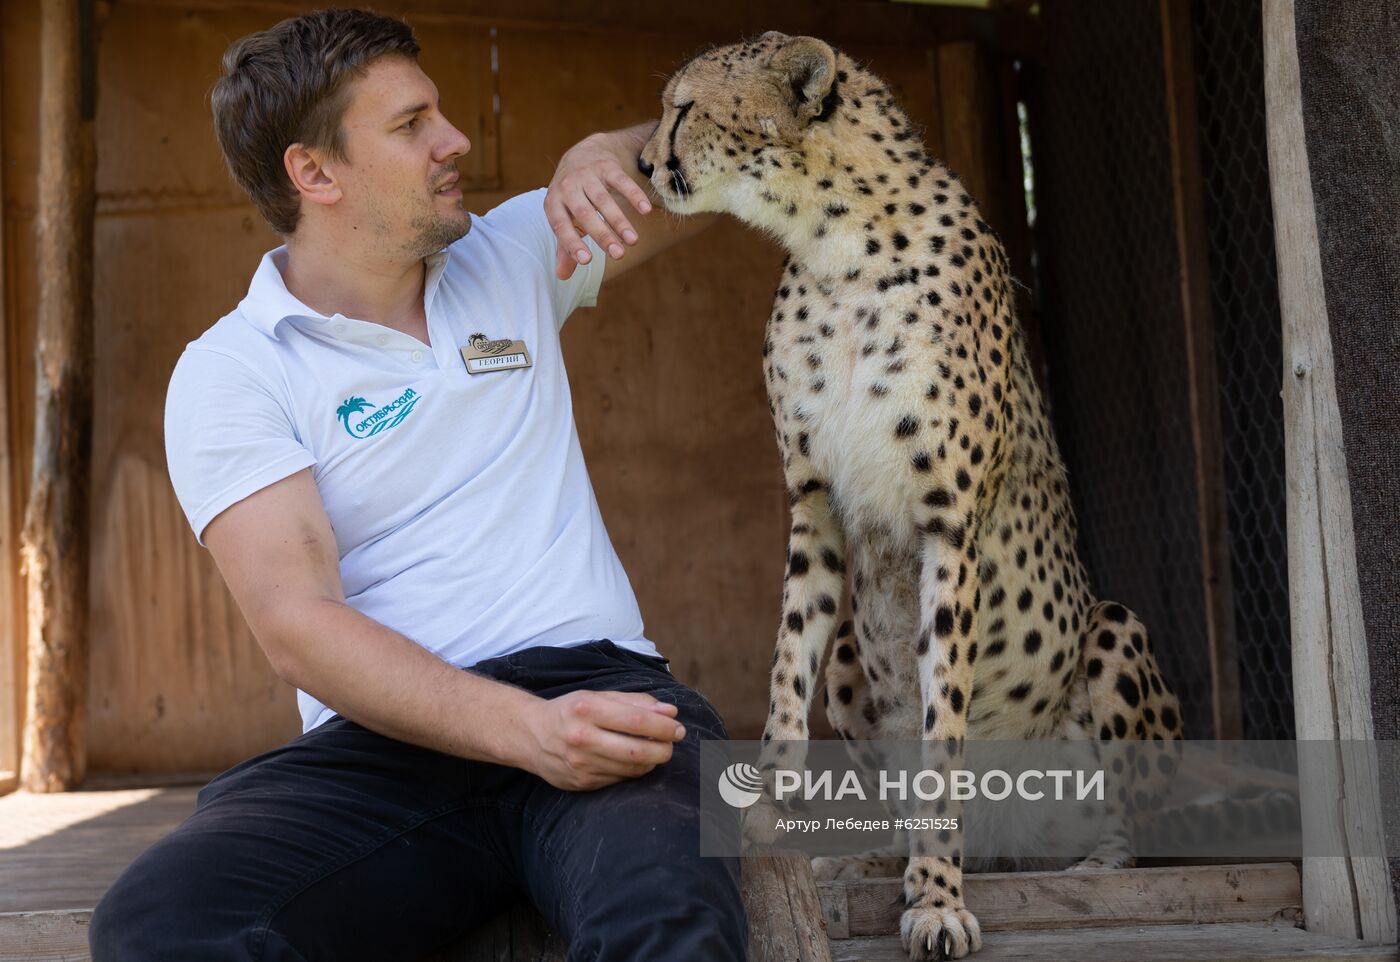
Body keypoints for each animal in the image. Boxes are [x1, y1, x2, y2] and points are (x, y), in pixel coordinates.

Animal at [641, 33, 1181, 957]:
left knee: (1131, 834)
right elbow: (786, 672)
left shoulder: (948, 527)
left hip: (1113, 633)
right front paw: (767, 817)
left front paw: (934, 898)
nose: (643, 164)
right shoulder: (814, 506)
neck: (838, 244)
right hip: (852, 665)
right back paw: (860, 864)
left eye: (684, 108)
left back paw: (1091, 870)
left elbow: (943, 734)